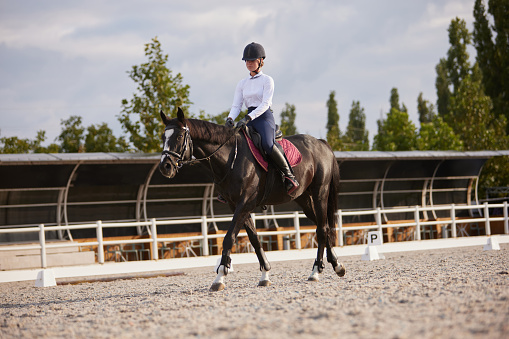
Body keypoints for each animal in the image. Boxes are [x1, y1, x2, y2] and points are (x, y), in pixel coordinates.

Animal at [159, 107, 346, 290]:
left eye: (180, 136)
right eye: (163, 137)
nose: (165, 167)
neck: (231, 157)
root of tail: (321, 142)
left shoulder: (245, 203)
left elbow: (229, 238)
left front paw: (220, 277)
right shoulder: (237, 205)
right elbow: (254, 239)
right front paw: (265, 274)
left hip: (320, 193)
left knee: (321, 229)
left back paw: (316, 271)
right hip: (304, 199)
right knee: (323, 227)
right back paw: (336, 265)